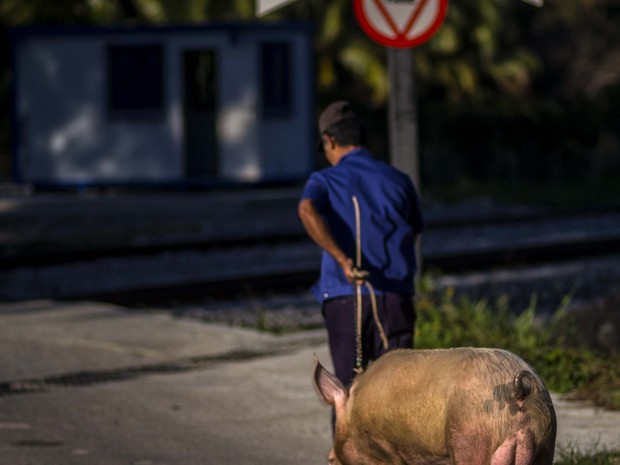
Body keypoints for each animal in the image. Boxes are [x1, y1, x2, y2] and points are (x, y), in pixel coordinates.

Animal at [314, 346, 556, 462]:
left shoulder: (378, 449)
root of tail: (521, 391)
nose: (330, 457)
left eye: (330, 459)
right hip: (545, 441)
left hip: (472, 439)